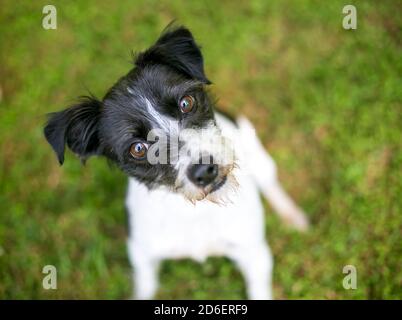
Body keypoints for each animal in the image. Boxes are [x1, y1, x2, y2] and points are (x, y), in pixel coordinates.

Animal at [43, 25, 308, 300]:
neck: (193, 210)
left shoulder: (255, 254)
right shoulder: (143, 259)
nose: (205, 170)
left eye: (186, 103)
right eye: (138, 148)